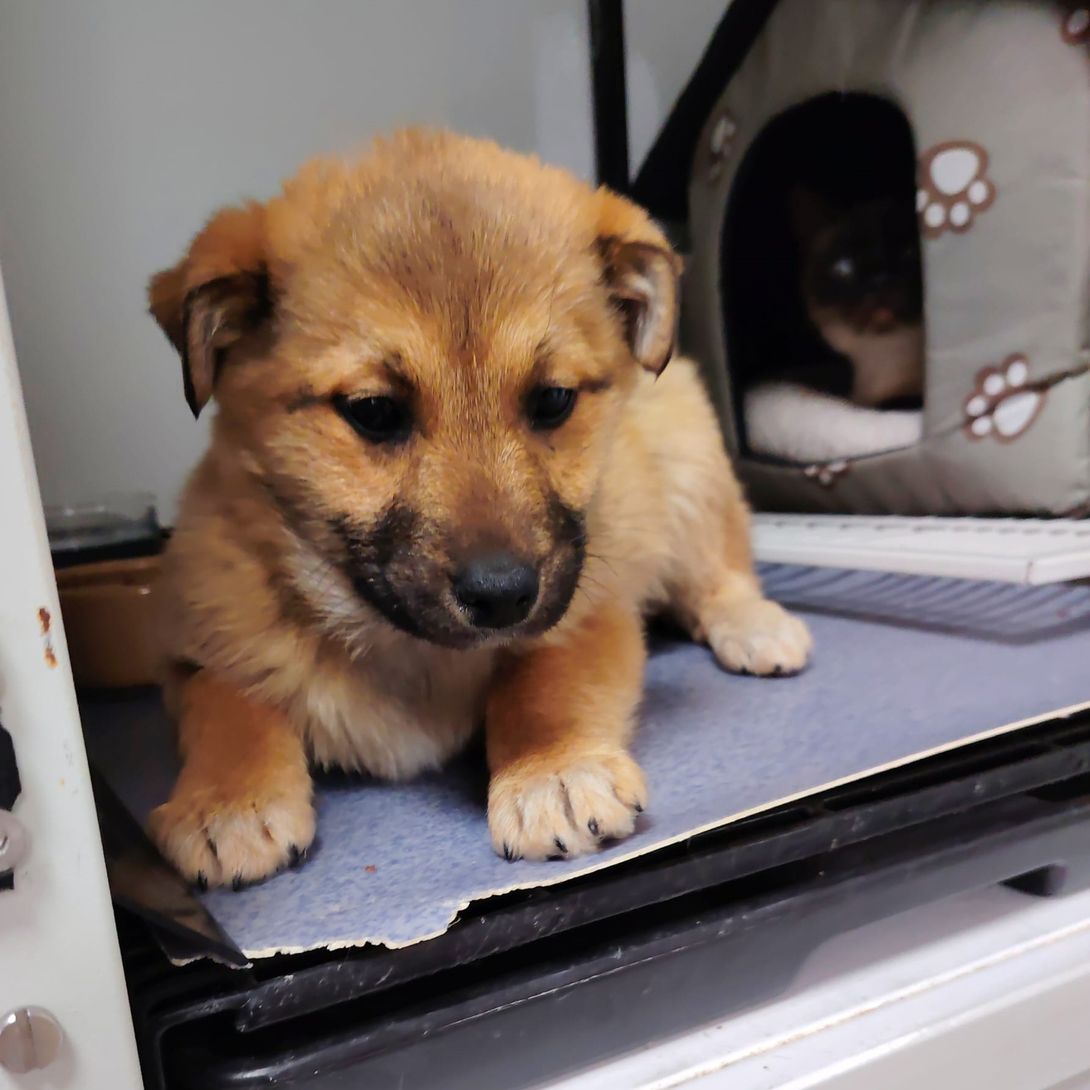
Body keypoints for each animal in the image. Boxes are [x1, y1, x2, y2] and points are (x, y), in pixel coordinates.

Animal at [146, 130, 812, 888]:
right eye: (374, 411)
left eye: (553, 400)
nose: (502, 596)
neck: (400, 643)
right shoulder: (191, 647)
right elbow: (229, 705)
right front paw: (227, 801)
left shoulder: (589, 608)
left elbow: (544, 684)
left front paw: (552, 770)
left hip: (689, 464)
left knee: (718, 571)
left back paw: (755, 625)